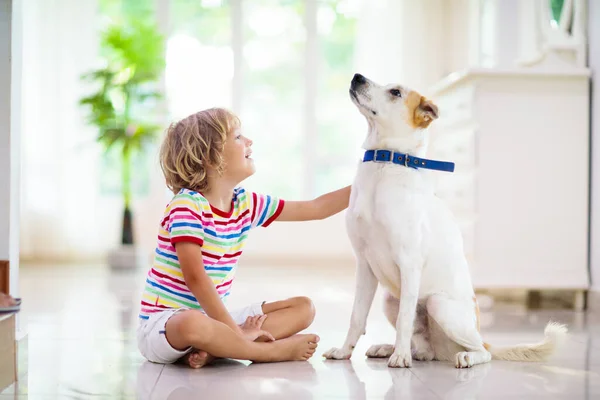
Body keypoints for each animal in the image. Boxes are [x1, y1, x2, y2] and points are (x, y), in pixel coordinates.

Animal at [324, 74, 568, 368]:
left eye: (395, 92)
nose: (357, 77)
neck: (385, 165)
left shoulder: (409, 263)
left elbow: (404, 320)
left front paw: (400, 358)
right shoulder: (364, 265)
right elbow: (357, 317)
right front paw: (344, 352)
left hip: (438, 304)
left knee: (482, 351)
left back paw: (460, 355)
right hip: (389, 299)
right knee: (423, 348)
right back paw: (391, 348)